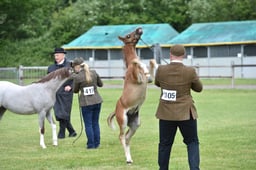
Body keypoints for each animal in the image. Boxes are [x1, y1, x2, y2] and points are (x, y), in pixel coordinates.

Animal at [107, 27, 149, 164]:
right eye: (128, 35)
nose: (139, 28)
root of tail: (116, 110)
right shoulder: (137, 78)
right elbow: (137, 62)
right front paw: (141, 65)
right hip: (123, 121)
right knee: (121, 137)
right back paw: (128, 160)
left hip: (135, 125)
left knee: (126, 138)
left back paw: (129, 158)